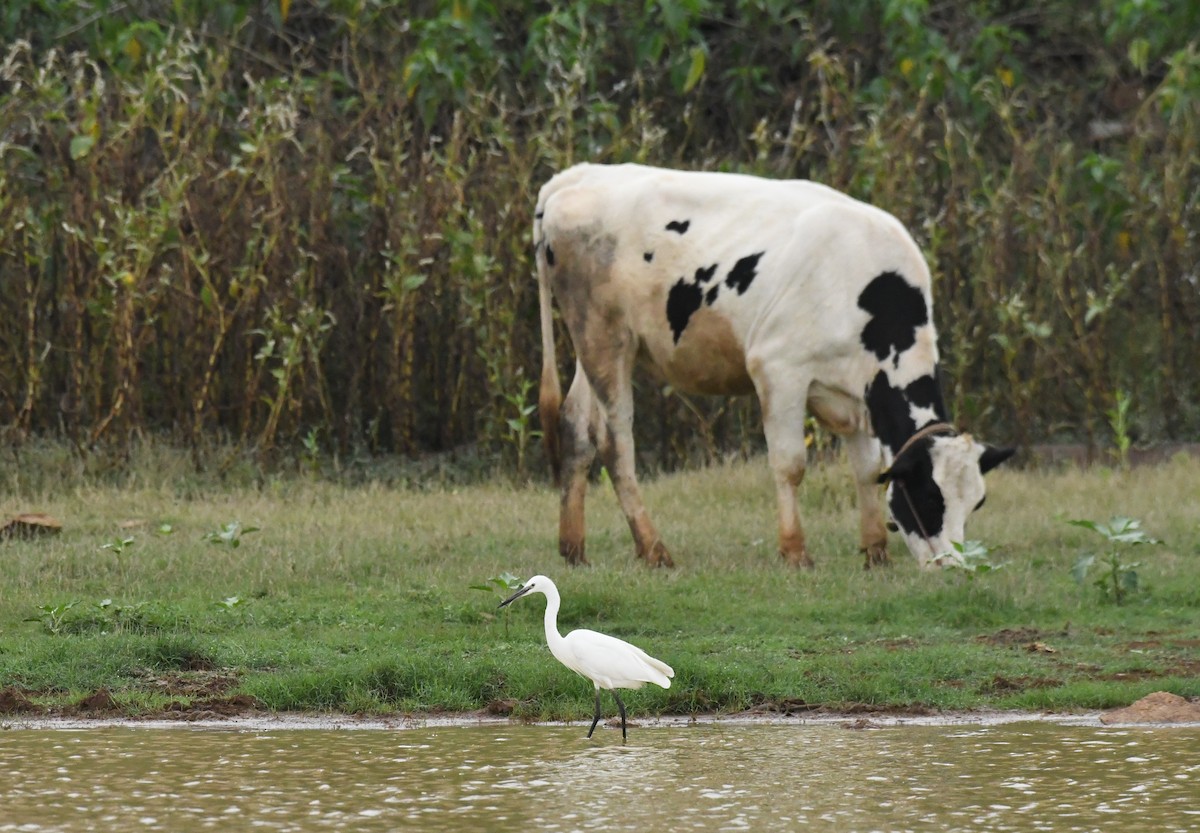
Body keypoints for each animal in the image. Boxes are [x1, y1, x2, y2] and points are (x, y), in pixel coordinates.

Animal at [535, 162, 1012, 568]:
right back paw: (654, 549)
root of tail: (574, 177)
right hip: (605, 336)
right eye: (930, 498)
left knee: (577, 427)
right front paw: (795, 551)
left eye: (976, 503)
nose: (952, 566)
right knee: (616, 443)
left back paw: (573, 548)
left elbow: (864, 469)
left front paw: (876, 551)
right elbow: (790, 464)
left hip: (596, 343)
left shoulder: (857, 394)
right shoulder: (779, 370)